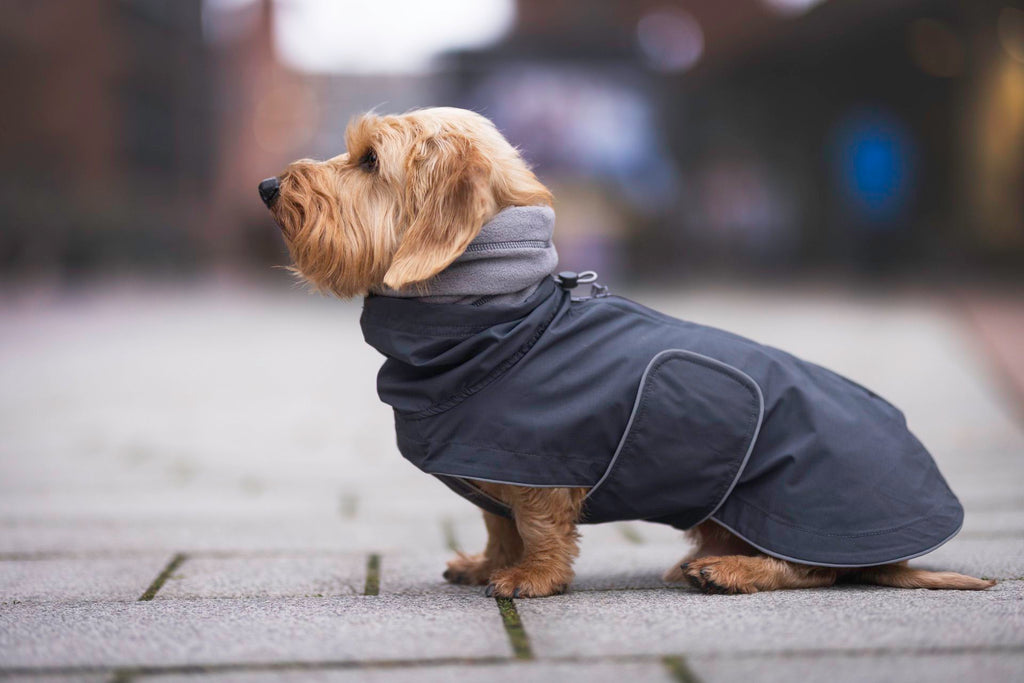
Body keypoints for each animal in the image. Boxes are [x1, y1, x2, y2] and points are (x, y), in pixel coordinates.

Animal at [260, 107, 995, 598]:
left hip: (792, 505)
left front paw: (530, 578)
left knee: (817, 568)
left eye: (369, 161)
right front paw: (488, 564)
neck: (505, 316)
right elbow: (497, 521)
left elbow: (540, 527)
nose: (268, 187)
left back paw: (731, 569)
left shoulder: (539, 461)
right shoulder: (488, 466)